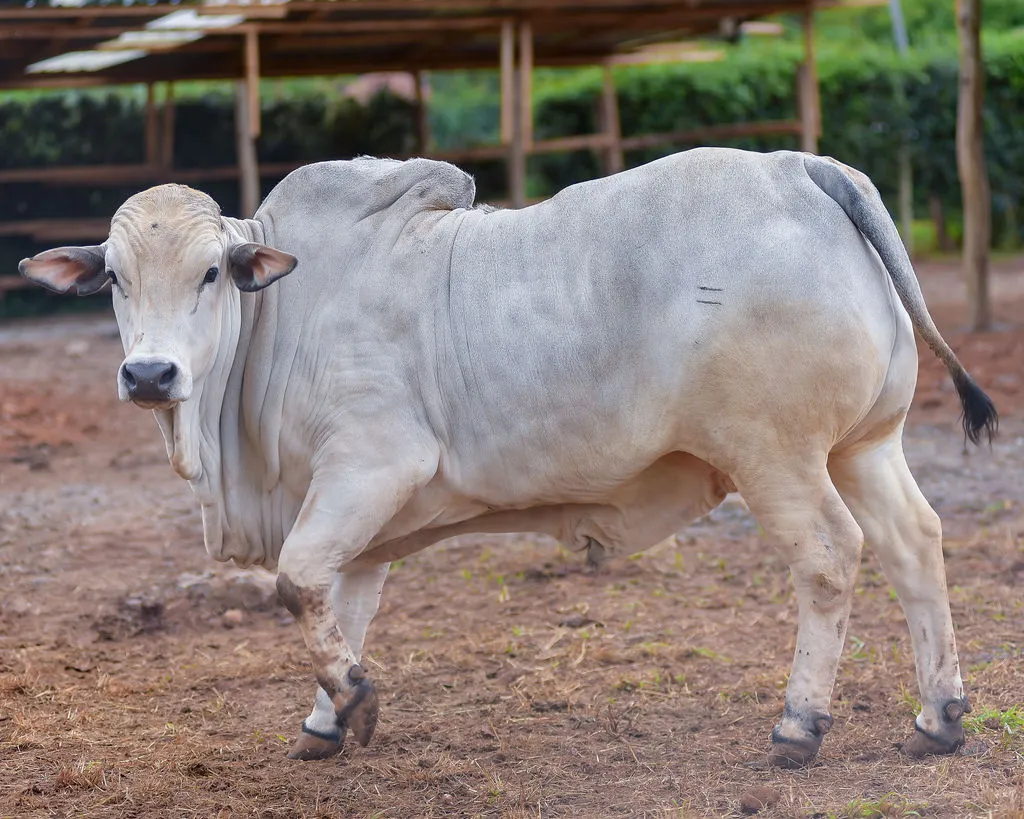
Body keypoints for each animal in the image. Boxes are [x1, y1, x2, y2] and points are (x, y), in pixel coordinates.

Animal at [20, 148, 996, 767]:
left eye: (212, 273)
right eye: (114, 279)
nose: (150, 374)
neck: (280, 313)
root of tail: (803, 169)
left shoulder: (372, 464)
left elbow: (297, 581)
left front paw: (354, 702)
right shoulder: (349, 511)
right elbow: (342, 600)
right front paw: (329, 719)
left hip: (777, 455)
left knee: (829, 558)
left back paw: (799, 725)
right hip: (865, 445)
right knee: (915, 543)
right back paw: (938, 716)